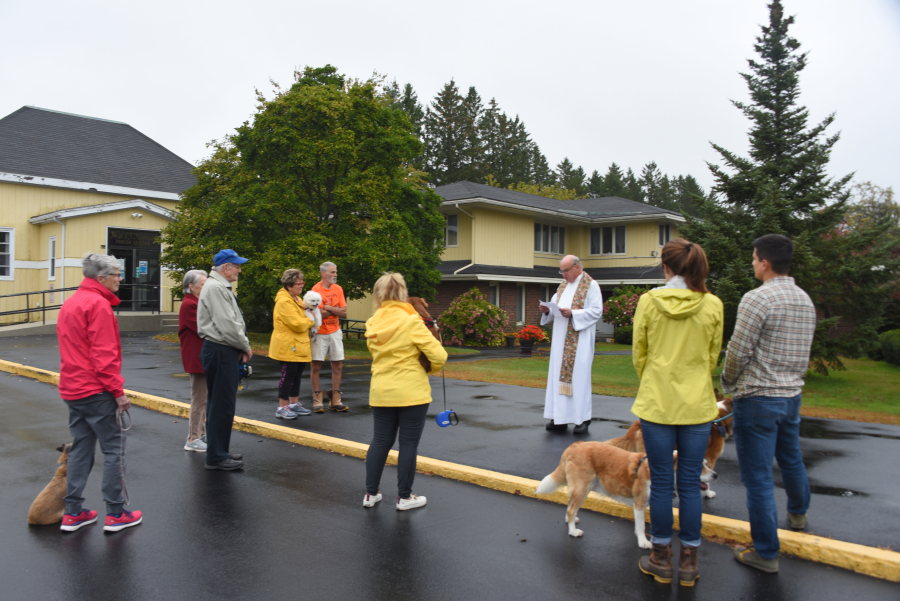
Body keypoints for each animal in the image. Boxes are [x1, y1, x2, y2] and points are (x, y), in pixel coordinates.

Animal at [536, 438, 716, 548]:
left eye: (706, 464)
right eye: (699, 467)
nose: (715, 475)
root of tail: (575, 445)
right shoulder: (640, 503)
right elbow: (641, 526)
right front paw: (644, 542)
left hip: (581, 489)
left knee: (569, 505)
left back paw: (570, 521)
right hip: (582, 488)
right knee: (571, 509)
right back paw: (573, 531)